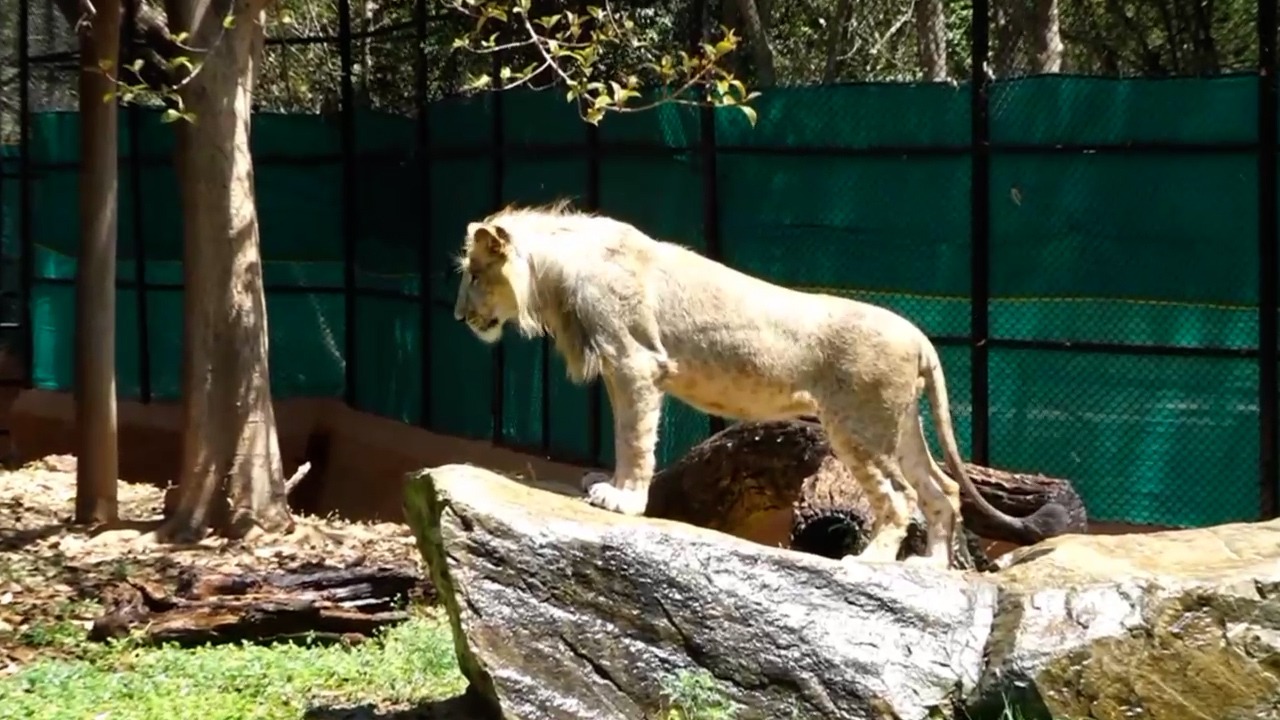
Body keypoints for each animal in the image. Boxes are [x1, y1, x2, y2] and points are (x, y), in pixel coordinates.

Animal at [451, 200, 1071, 569]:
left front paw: (622, 497)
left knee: (900, 499)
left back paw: (871, 562)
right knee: (940, 489)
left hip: (857, 426)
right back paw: (932, 570)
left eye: (474, 274)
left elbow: (634, 436)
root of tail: (920, 336)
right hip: (898, 427)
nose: (459, 316)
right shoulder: (624, 363)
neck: (553, 273)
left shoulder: (635, 362)